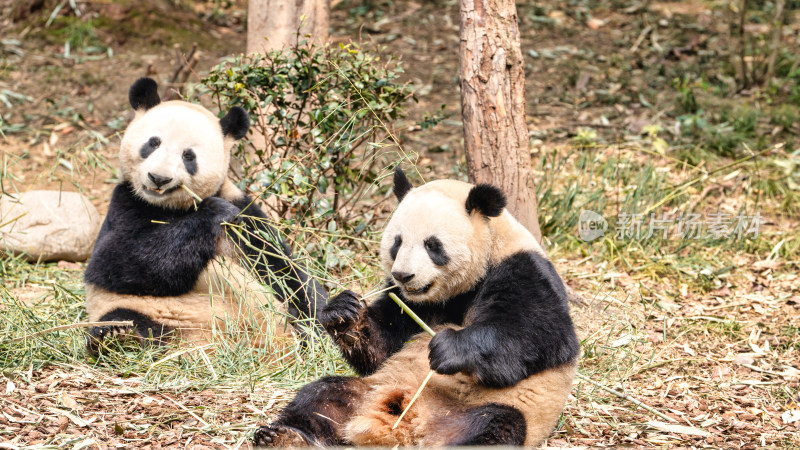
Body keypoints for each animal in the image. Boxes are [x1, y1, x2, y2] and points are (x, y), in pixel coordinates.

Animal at [83, 78, 326, 356]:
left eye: (189, 156)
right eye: (153, 143)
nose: (158, 178)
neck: (172, 208)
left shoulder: (244, 213)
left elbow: (282, 269)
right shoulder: (125, 204)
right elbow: (117, 263)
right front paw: (214, 211)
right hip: (142, 310)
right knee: (127, 319)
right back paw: (117, 337)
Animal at [256, 168, 580, 446]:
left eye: (432, 245)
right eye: (397, 242)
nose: (403, 275)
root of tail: (411, 427)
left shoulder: (523, 269)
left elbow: (536, 334)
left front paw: (450, 348)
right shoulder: (409, 302)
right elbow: (381, 346)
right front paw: (343, 312)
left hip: (488, 409)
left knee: (497, 426)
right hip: (368, 390)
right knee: (322, 396)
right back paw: (285, 437)